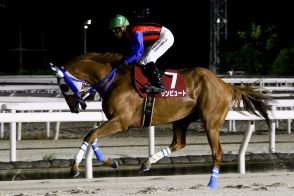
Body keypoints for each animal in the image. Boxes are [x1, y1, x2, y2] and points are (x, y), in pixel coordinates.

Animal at [49, 51, 272, 189]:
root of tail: (226, 84)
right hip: (182, 118)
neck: (113, 80)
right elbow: (93, 135)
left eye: (63, 86)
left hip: (210, 122)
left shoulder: (121, 121)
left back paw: (211, 183)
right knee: (178, 143)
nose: (75, 108)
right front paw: (111, 162)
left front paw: (74, 168)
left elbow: (90, 134)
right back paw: (147, 163)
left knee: (217, 152)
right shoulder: (114, 120)